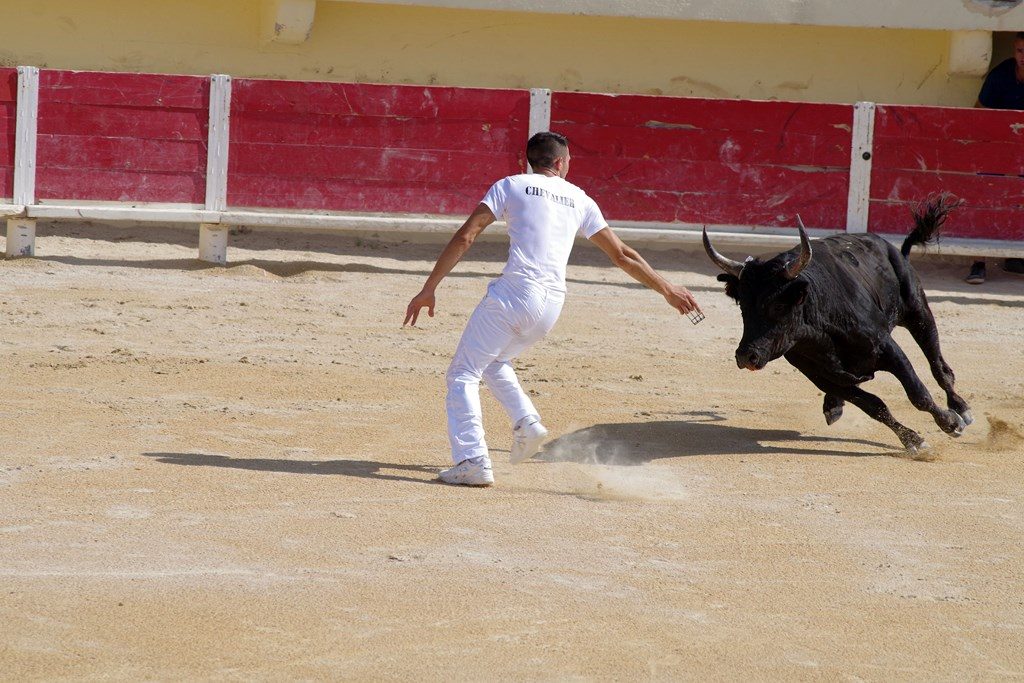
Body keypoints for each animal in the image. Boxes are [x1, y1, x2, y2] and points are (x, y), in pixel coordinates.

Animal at [703, 194, 971, 453]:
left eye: (778, 306)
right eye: (743, 307)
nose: (745, 356)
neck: (822, 330)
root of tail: (893, 249)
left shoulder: (889, 349)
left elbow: (918, 394)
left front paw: (950, 423)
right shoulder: (820, 375)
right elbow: (874, 406)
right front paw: (913, 440)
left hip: (918, 311)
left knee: (940, 367)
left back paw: (962, 410)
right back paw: (833, 405)